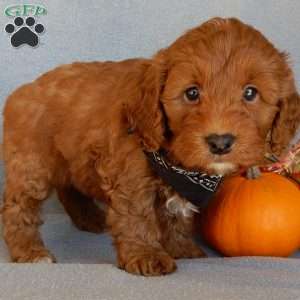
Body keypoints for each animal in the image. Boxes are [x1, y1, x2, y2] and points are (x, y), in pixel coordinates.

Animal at [2, 17, 300, 276]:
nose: (220, 142)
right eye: (192, 93)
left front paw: (182, 247)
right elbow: (137, 215)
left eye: (250, 93)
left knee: (70, 188)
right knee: (17, 206)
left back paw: (90, 218)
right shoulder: (130, 174)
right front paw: (146, 255)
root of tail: (24, 90)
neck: (177, 163)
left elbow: (175, 215)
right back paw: (31, 252)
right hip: (33, 163)